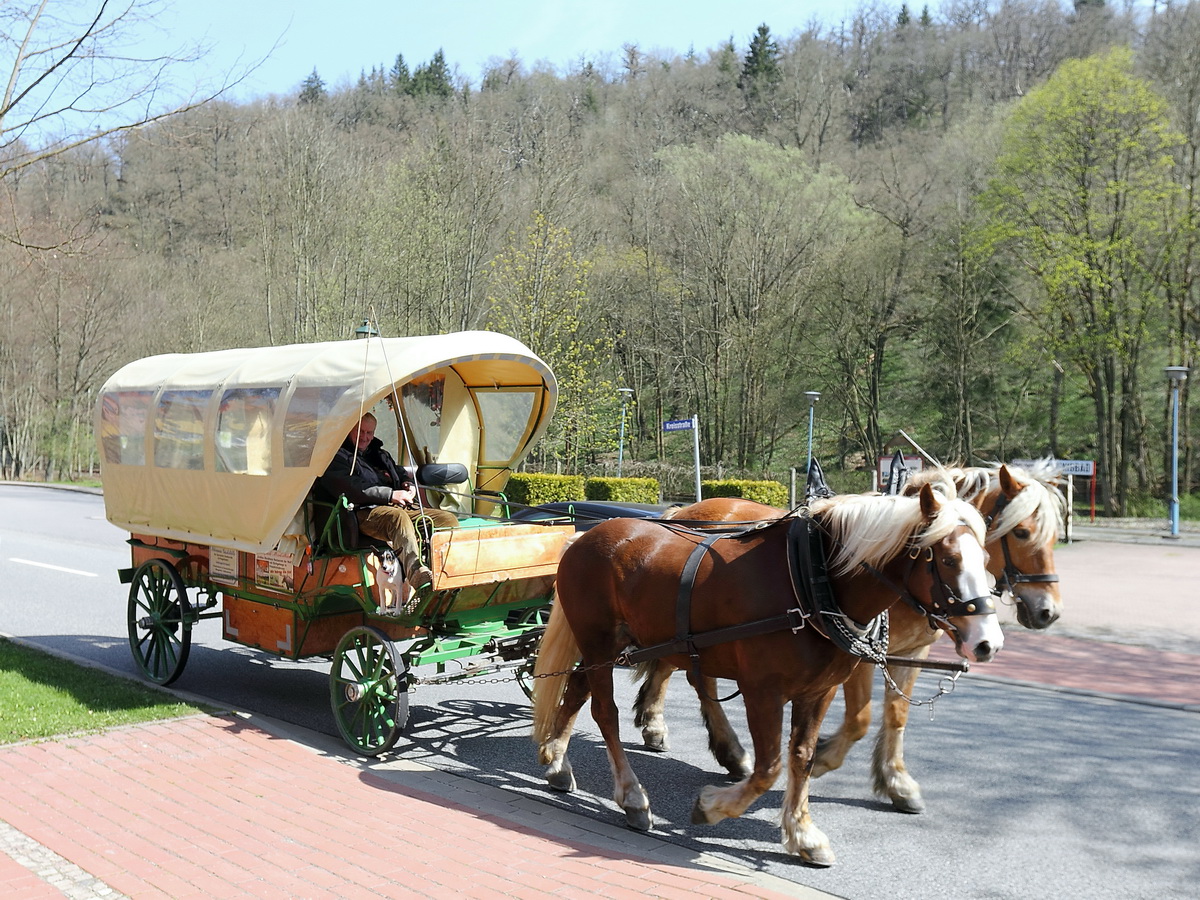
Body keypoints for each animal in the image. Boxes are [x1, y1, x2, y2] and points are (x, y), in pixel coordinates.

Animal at [532, 487, 993, 868]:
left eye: (986, 560)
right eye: (948, 559)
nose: (986, 642)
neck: (813, 579)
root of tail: (583, 537)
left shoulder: (819, 691)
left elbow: (802, 758)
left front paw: (804, 834)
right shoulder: (762, 691)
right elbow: (770, 767)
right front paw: (712, 807)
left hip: (608, 649)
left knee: (577, 689)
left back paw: (556, 762)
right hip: (600, 644)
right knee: (604, 712)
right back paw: (632, 797)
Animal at [643, 465, 1065, 816]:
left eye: (1055, 538)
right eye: (1023, 533)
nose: (1048, 611)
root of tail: (685, 510)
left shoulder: (911, 652)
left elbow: (896, 715)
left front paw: (897, 781)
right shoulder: (861, 656)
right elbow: (860, 719)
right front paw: (824, 757)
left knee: (686, 670)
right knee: (681, 669)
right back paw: (674, 730)